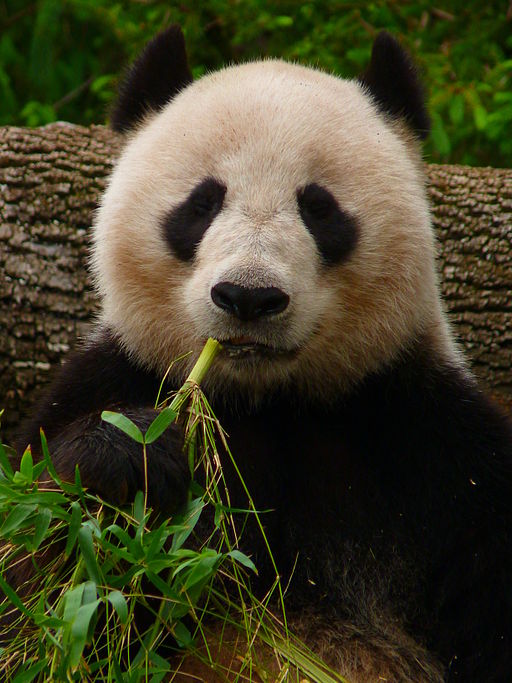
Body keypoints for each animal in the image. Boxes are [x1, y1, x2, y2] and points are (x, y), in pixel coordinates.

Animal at [14, 24, 512, 680]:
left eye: (318, 207)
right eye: (202, 202)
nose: (248, 297)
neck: (270, 403)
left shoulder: (430, 443)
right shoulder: (110, 376)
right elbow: (40, 598)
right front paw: (128, 458)